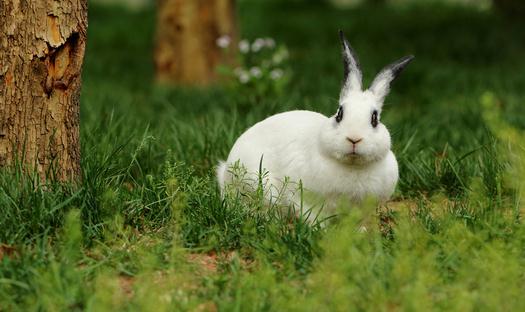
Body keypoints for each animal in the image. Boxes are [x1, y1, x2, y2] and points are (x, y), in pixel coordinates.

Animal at [215, 30, 412, 218]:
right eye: (339, 114)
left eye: (374, 119)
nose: (354, 139)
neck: (353, 166)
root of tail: (225, 172)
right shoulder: (304, 200)